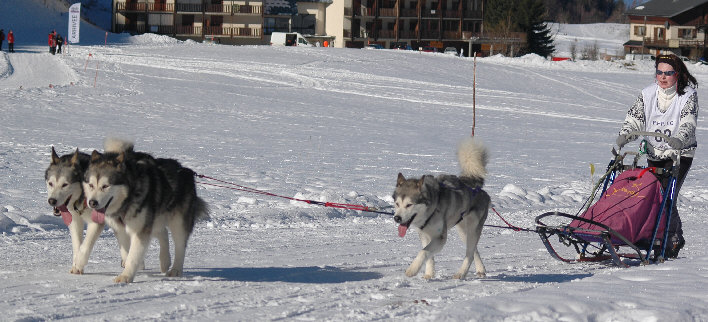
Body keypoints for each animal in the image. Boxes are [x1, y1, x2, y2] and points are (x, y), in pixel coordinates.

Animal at [83, 138, 209, 282]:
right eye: (91, 185)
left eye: (105, 186)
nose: (92, 202)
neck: (128, 199)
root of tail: (185, 170)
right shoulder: (121, 229)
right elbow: (126, 252)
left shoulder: (140, 230)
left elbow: (133, 256)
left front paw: (126, 276)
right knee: (163, 232)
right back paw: (164, 261)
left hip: (178, 222)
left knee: (180, 245)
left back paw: (176, 270)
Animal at [392, 136, 486, 280]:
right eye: (397, 203)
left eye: (409, 204)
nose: (397, 218)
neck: (431, 210)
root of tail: (476, 186)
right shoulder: (425, 235)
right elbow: (428, 255)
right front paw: (429, 274)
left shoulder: (440, 237)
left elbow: (423, 252)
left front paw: (412, 269)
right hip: (463, 231)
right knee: (474, 250)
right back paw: (481, 269)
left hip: (472, 229)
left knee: (469, 254)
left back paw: (461, 273)